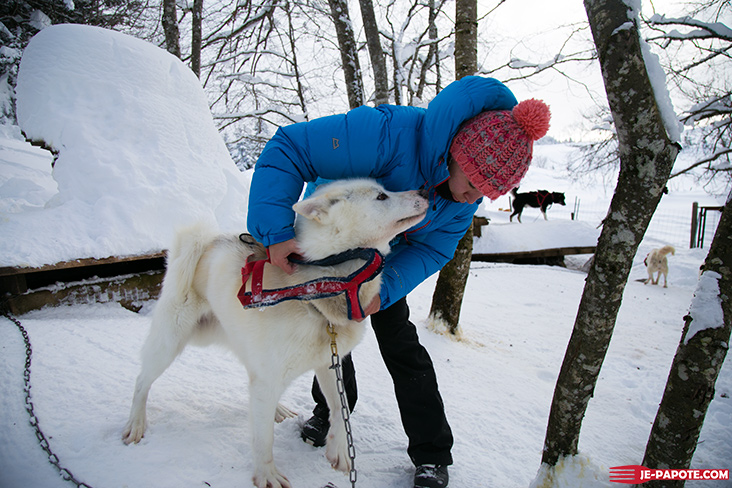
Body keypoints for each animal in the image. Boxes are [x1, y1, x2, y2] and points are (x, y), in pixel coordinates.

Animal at [120, 179, 428, 488]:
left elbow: (340, 410)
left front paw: (340, 450)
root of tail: (206, 244)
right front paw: (266, 474)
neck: (320, 287)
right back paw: (136, 423)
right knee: (141, 381)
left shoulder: (329, 364)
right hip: (171, 342)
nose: (425, 191)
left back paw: (278, 409)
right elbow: (262, 439)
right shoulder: (271, 377)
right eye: (381, 196)